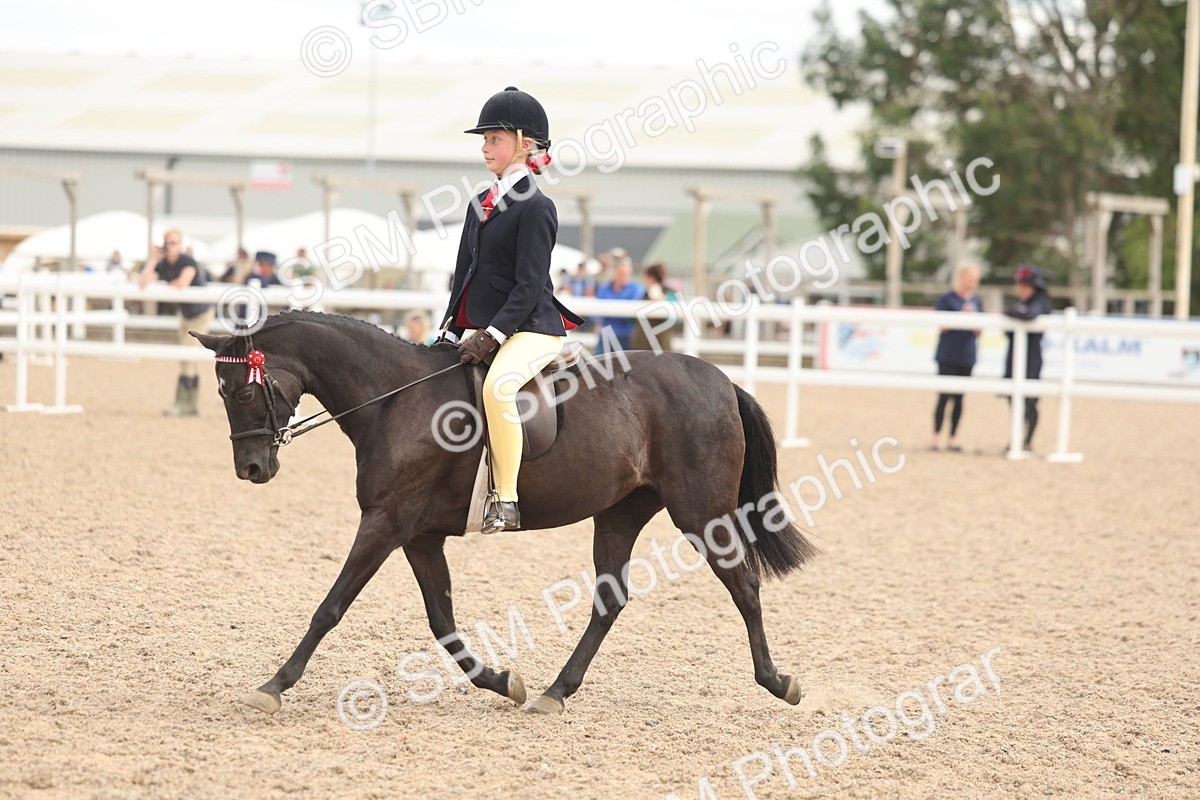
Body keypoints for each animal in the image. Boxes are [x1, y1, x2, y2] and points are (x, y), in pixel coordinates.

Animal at [191, 309, 818, 715]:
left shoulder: (386, 523)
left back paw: (777, 682)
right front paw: (500, 681)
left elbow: (331, 606)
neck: (395, 400)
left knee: (743, 585)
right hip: (620, 512)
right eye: (220, 392)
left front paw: (273, 685)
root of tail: (721, 379)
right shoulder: (418, 536)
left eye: (241, 391)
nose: (252, 469)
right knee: (610, 600)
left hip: (701, 513)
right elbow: (442, 621)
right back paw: (554, 693)